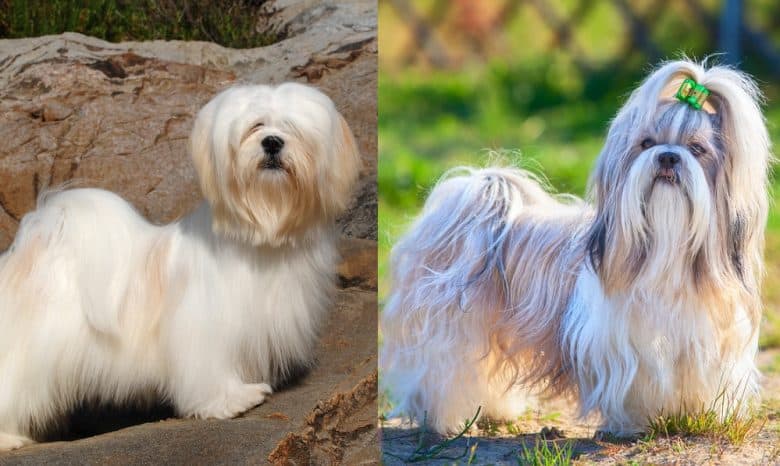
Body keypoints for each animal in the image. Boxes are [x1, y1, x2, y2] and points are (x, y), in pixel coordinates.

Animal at [0, 82, 360, 450]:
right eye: (256, 127)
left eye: (291, 128)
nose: (272, 142)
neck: (262, 230)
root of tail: (38, 239)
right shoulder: (206, 326)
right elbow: (210, 369)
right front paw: (233, 400)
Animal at [380, 60, 772, 436]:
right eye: (646, 143)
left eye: (697, 149)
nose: (668, 157)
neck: (667, 251)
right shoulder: (626, 348)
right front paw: (634, 423)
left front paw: (698, 416)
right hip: (450, 329)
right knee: (440, 373)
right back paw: (445, 419)